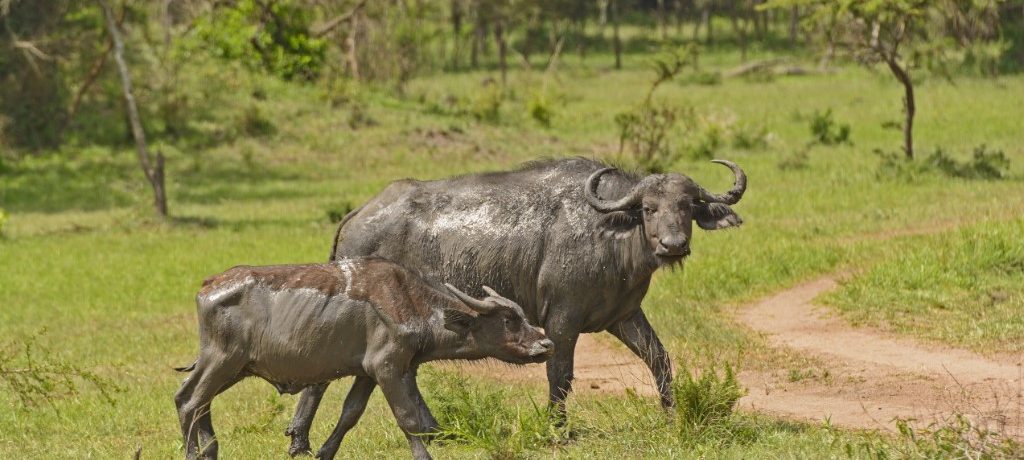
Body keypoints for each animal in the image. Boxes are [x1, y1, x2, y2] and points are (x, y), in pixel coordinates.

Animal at [284, 157, 749, 454]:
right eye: (649, 208)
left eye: (686, 206)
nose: (673, 245)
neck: (610, 235)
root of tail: (357, 215)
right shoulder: (562, 319)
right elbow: (560, 375)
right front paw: (558, 431)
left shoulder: (624, 316)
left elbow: (660, 359)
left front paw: (671, 417)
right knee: (320, 373)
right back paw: (299, 440)